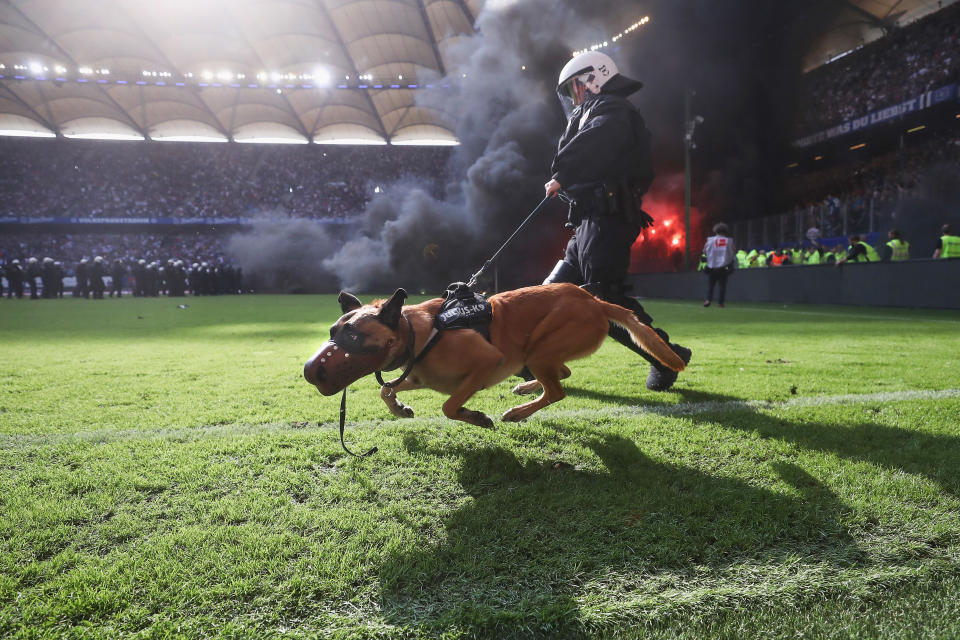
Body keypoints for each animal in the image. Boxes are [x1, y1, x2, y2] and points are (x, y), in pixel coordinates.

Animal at [304, 284, 688, 424]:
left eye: (353, 335)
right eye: (333, 332)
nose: (309, 370)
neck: (418, 334)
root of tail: (594, 300)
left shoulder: (487, 362)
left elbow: (449, 406)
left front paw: (474, 416)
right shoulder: (419, 376)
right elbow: (386, 389)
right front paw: (400, 408)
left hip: (539, 350)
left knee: (558, 390)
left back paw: (518, 412)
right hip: (540, 353)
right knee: (562, 375)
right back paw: (526, 389)